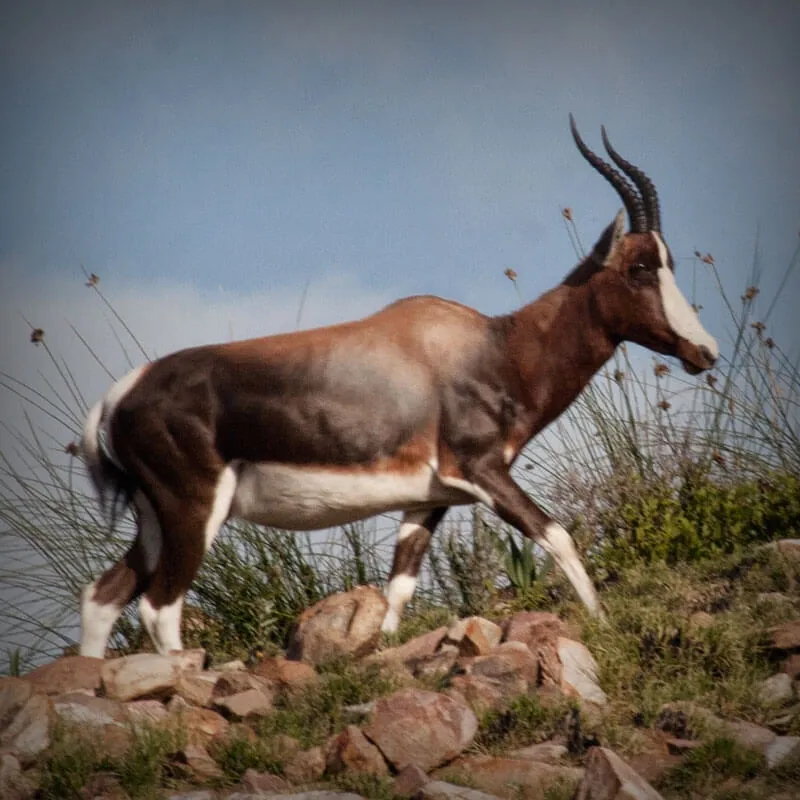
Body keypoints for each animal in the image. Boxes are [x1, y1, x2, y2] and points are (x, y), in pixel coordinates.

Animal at [79, 117, 720, 656]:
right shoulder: (481, 471)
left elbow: (399, 589)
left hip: (155, 517)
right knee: (160, 607)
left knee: (103, 596)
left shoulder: (429, 499)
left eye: (668, 263)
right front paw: (604, 624)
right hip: (194, 509)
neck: (493, 347)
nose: (705, 352)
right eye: (640, 267)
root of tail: (120, 395)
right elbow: (557, 534)